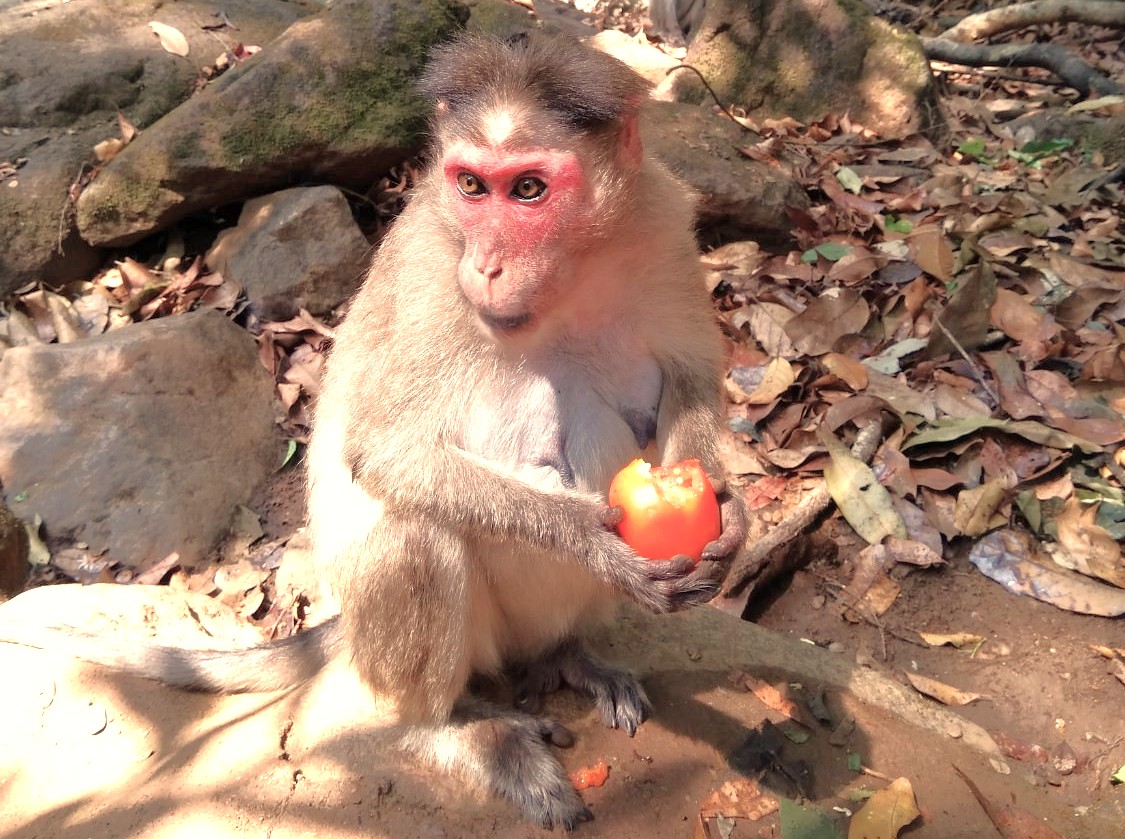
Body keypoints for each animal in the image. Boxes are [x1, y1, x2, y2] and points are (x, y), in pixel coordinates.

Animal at [0, 33, 746, 829]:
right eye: (471, 186)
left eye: (528, 190)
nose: (487, 264)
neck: (564, 280)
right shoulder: (429, 269)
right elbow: (388, 453)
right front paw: (592, 539)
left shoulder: (660, 223)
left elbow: (692, 377)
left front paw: (728, 518)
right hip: (399, 640)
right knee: (416, 537)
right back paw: (454, 726)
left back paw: (565, 654)